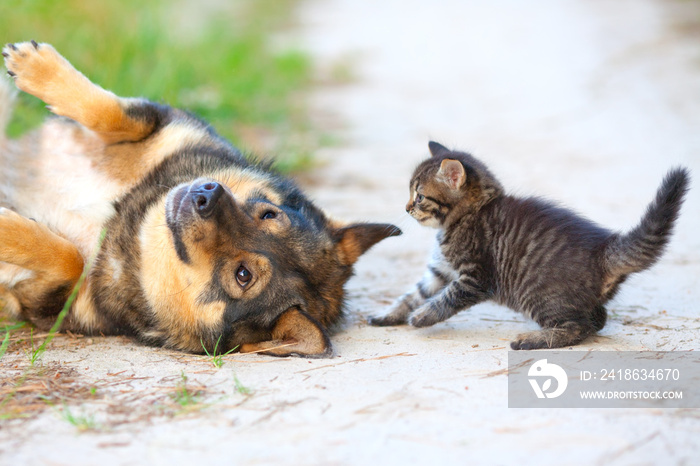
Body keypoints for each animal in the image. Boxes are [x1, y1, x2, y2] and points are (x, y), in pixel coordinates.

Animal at [0, 41, 400, 358]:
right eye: (269, 214)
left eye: (243, 275)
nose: (207, 193)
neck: (125, 213)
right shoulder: (170, 124)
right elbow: (113, 113)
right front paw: (39, 68)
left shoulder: (49, 303)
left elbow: (69, 258)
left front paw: (7, 227)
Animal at [372, 142, 688, 350]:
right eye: (411, 194)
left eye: (419, 196)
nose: (407, 207)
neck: (468, 214)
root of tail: (603, 250)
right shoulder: (440, 270)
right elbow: (413, 294)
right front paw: (390, 315)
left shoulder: (474, 278)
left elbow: (444, 300)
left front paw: (421, 317)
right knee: (598, 318)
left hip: (538, 296)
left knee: (580, 326)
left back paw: (533, 340)